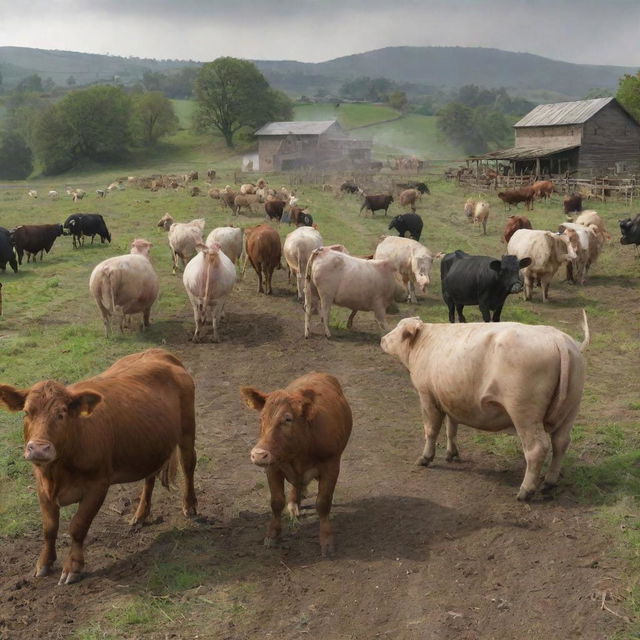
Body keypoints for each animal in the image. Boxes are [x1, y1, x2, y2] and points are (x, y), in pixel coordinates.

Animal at [0, 350, 198, 584]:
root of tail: (160, 352)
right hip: (151, 445)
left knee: (189, 465)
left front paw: (73, 567)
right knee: (150, 477)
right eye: (27, 412)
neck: (58, 472)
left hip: (187, 430)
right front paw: (44, 563)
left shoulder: (97, 485)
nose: (39, 449)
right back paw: (140, 514)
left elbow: (78, 526)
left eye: (62, 413)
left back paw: (190, 505)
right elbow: (49, 528)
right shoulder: (42, 486)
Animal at [240, 372, 352, 556]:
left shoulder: (331, 465)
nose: (258, 455)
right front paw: (273, 535)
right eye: (261, 418)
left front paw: (326, 540)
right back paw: (294, 503)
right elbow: (276, 502)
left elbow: (323, 503)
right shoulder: (273, 467)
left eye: (288, 419)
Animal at [380, 318, 592, 502]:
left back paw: (525, 491)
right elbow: (451, 428)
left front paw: (425, 458)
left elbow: (431, 430)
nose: (382, 339)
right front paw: (451, 453)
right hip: (571, 409)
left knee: (537, 448)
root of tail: (557, 337)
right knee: (561, 442)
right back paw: (550, 481)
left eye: (398, 329)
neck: (425, 342)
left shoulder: (427, 397)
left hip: (524, 412)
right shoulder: (450, 398)